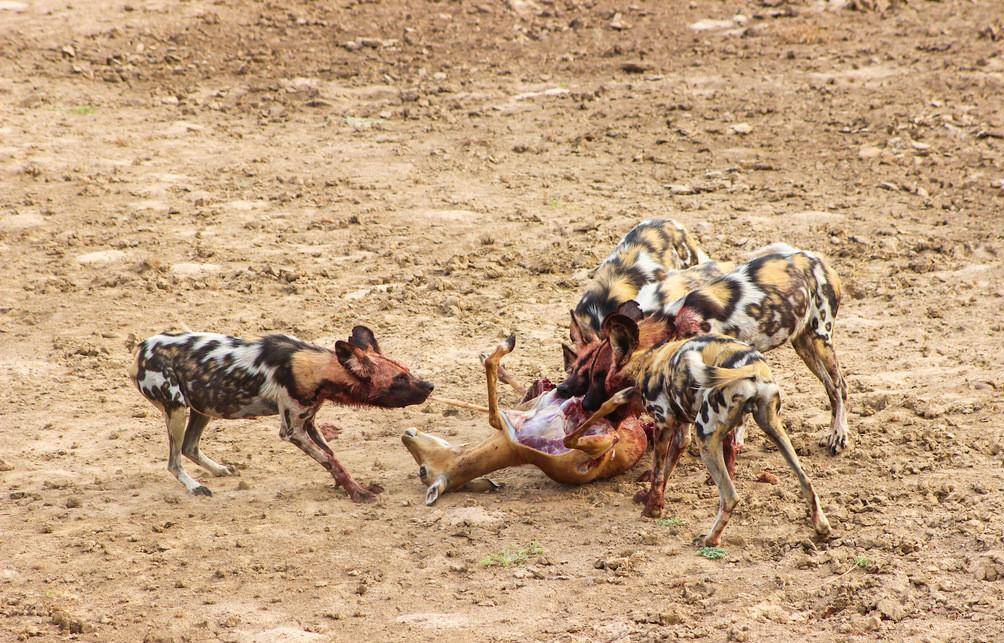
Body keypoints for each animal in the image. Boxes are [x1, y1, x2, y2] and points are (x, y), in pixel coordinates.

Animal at [129, 325, 431, 502]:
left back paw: (219, 470)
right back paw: (194, 486)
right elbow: (331, 461)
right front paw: (358, 493)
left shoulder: (310, 423)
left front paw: (346, 485)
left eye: (407, 371)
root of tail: (140, 349)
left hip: (204, 407)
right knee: (174, 461)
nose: (430, 386)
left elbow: (332, 457)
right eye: (399, 379)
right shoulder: (292, 431)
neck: (314, 369)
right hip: (178, 409)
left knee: (189, 447)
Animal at [582, 313, 831, 546]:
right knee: (806, 481)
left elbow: (658, 474)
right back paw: (822, 528)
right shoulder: (681, 433)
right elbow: (665, 472)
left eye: (597, 376)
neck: (647, 360)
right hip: (773, 429)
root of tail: (753, 367)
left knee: (730, 497)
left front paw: (652, 510)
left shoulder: (663, 426)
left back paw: (710, 539)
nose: (585, 404)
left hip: (706, 438)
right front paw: (650, 500)